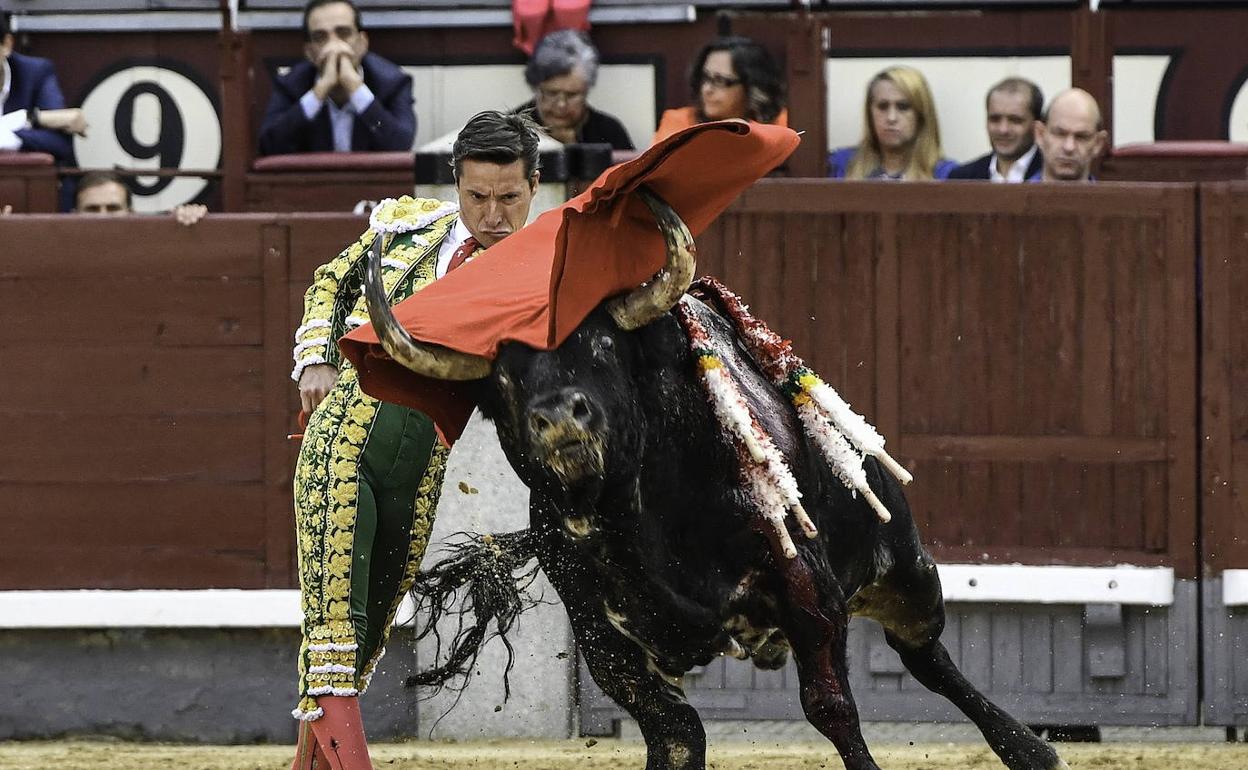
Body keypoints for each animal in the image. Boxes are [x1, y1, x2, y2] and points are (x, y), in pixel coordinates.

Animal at [364, 192, 1073, 768]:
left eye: (600, 345)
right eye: (503, 377)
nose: (560, 416)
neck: (635, 514)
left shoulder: (806, 586)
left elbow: (831, 707)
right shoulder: (603, 637)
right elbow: (677, 736)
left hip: (904, 569)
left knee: (928, 656)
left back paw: (1034, 752)